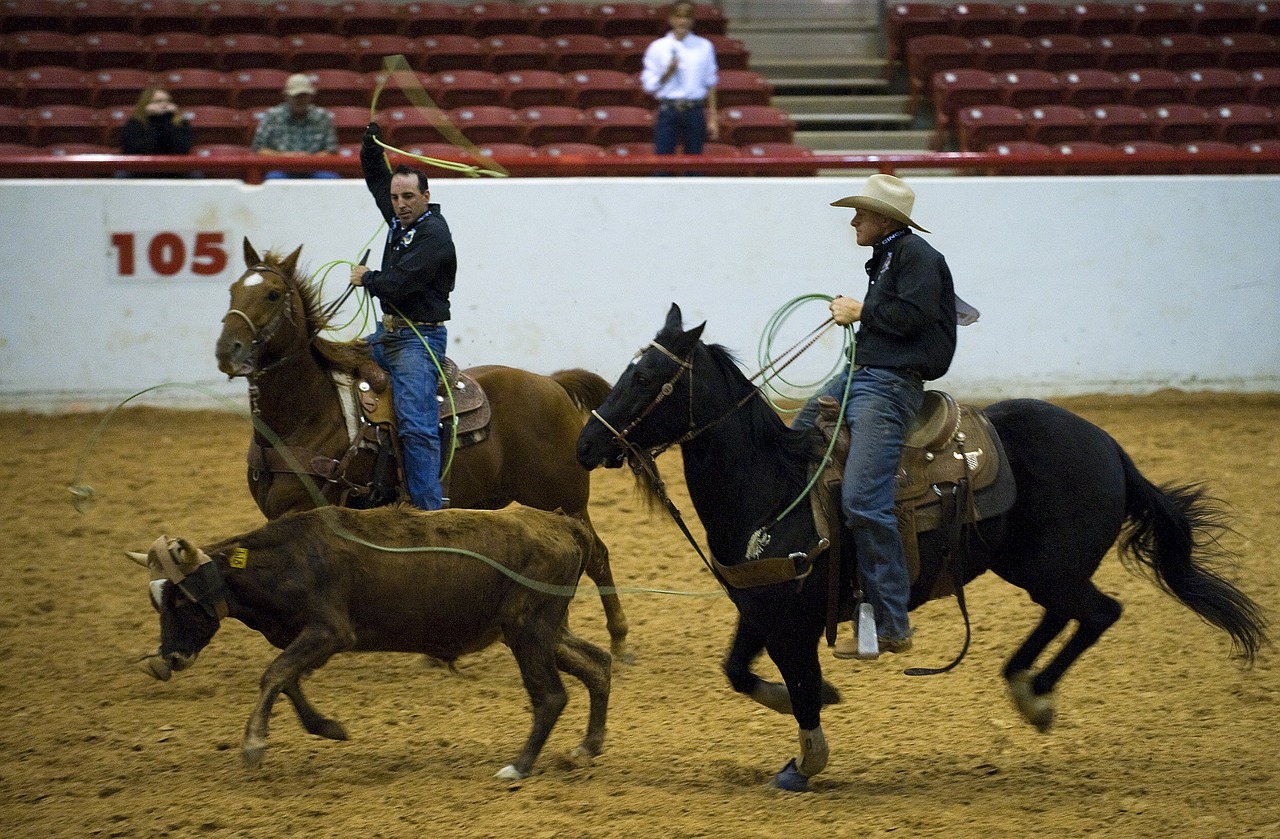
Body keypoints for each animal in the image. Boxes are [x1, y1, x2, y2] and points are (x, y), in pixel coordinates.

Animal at [132, 502, 611, 778]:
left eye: (182, 600)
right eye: (156, 602)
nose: (164, 661)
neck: (289, 560)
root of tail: (565, 526)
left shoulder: (329, 632)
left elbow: (275, 674)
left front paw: (253, 745)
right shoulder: (308, 639)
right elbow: (288, 679)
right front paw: (327, 727)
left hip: (528, 629)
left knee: (550, 696)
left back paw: (520, 765)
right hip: (544, 631)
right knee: (598, 665)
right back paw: (585, 748)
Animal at [217, 240, 632, 660]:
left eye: (272, 294)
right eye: (233, 290)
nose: (226, 350)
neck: (310, 412)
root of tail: (552, 383)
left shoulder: (304, 510)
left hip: (565, 498)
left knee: (597, 556)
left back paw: (619, 637)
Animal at [576, 303, 1264, 794]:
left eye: (649, 376)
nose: (587, 444)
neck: (775, 485)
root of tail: (1112, 447)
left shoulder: (794, 619)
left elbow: (800, 683)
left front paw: (807, 760)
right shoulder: (761, 605)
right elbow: (741, 673)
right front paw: (812, 706)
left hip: (1050, 568)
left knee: (1098, 612)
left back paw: (1036, 695)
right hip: (1030, 567)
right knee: (1072, 614)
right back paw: (1024, 684)